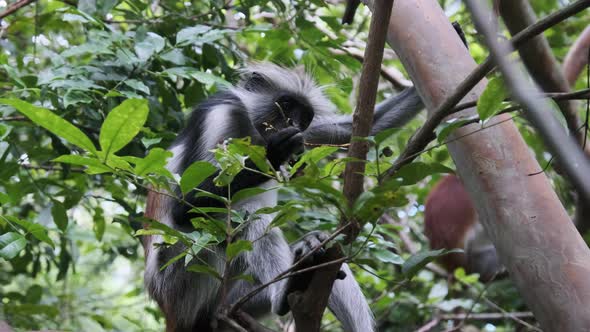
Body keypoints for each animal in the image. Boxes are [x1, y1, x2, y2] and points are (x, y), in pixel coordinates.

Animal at [143, 63, 426, 330]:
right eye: (286, 105)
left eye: (305, 116)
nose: (292, 123)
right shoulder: (220, 116)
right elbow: (185, 208)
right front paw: (274, 154)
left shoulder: (302, 135)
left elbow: (360, 127)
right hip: (184, 272)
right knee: (247, 214)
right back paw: (287, 290)